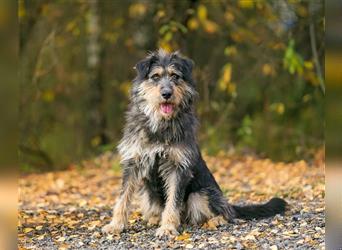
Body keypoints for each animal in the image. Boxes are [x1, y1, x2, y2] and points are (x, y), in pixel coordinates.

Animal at [102, 49, 286, 238]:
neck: (161, 125)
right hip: (147, 193)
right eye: (155, 76)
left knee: (225, 214)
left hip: (200, 195)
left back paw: (215, 220)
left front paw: (168, 227)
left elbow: (173, 201)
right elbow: (123, 198)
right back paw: (154, 218)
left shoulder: (178, 168)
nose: (166, 94)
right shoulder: (133, 163)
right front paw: (115, 225)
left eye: (175, 76)